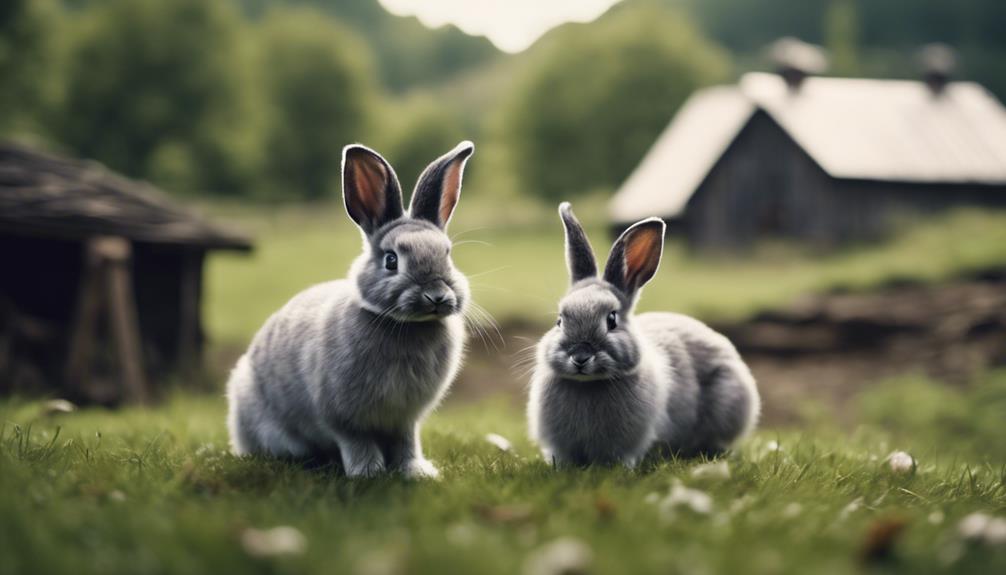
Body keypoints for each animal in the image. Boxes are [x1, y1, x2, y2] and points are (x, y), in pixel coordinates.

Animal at [227, 141, 476, 479]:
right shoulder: (345, 418)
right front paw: (368, 472)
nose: (437, 296)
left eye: (447, 255)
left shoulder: (404, 419)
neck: (405, 325)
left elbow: (406, 443)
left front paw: (416, 472)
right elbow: (357, 442)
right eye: (391, 260)